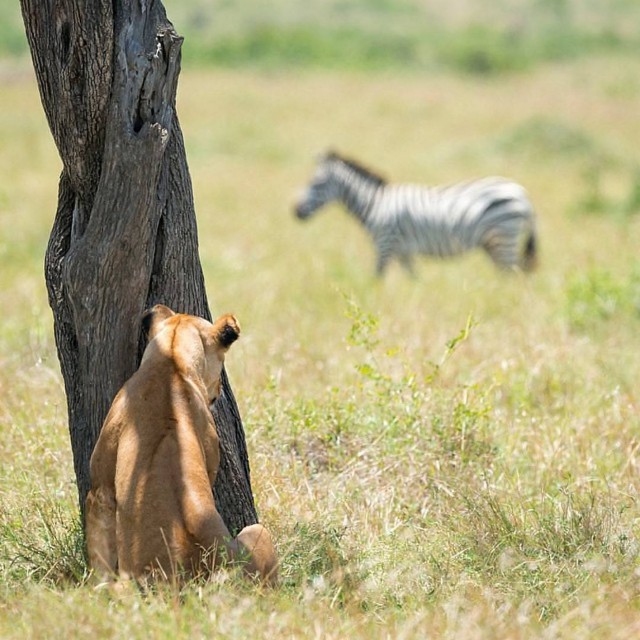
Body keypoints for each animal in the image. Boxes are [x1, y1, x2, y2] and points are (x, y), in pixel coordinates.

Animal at [292, 154, 536, 278]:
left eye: (317, 183)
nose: (296, 212)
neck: (376, 204)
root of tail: (522, 193)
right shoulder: (403, 252)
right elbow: (413, 279)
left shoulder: (385, 244)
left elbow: (376, 278)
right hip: (493, 243)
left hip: (504, 236)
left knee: (513, 274)